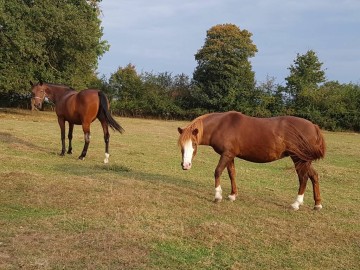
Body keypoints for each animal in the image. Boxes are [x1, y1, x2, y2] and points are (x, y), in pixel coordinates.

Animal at [177, 110, 326, 210]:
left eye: (194, 144)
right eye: (181, 145)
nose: (186, 165)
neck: (221, 126)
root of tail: (314, 126)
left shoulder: (226, 154)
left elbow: (218, 171)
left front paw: (217, 196)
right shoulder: (230, 156)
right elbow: (232, 174)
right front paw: (232, 195)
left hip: (299, 159)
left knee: (303, 178)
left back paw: (296, 204)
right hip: (304, 160)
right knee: (314, 176)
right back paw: (317, 204)